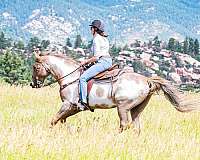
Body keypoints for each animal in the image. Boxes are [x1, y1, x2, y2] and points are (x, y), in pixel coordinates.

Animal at [30, 52, 199, 134]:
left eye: (35, 67)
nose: (33, 84)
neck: (71, 77)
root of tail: (146, 80)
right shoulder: (73, 108)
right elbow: (61, 120)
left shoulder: (67, 104)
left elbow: (54, 120)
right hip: (136, 109)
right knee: (136, 127)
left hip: (122, 107)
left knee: (124, 124)